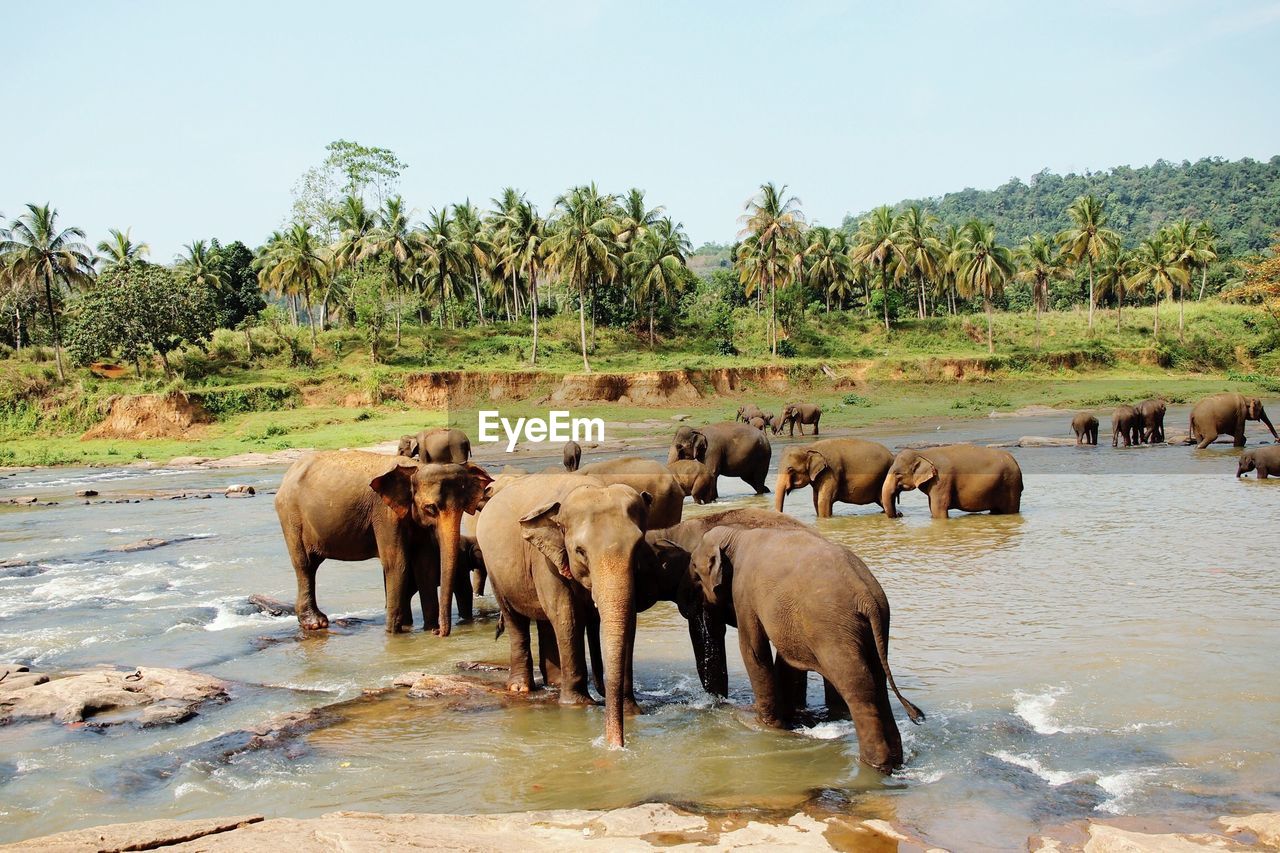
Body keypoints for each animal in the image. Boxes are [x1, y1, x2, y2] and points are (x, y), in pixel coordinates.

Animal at [275, 450, 488, 630]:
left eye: (463, 507)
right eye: (430, 508)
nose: (441, 633)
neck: (414, 467)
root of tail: (287, 476)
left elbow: (424, 564)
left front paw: (429, 630)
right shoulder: (385, 514)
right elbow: (397, 563)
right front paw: (393, 633)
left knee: (312, 564)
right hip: (291, 516)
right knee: (304, 564)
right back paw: (315, 624)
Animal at [473, 471, 650, 742]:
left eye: (638, 546)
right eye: (580, 551)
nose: (616, 745)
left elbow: (629, 619)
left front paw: (632, 709)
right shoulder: (545, 560)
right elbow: (567, 615)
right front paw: (577, 705)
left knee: (546, 622)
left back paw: (555, 683)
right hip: (495, 569)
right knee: (516, 620)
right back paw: (520, 687)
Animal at [686, 525, 926, 768]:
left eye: (695, 569)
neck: (736, 534)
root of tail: (867, 596)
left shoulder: (743, 591)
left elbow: (753, 650)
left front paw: (760, 723)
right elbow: (786, 659)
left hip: (833, 629)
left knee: (858, 686)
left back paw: (875, 764)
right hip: (875, 631)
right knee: (878, 682)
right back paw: (894, 762)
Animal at [885, 445, 1024, 517]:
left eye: (897, 474)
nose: (899, 514)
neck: (923, 453)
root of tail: (1015, 462)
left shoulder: (942, 479)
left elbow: (938, 508)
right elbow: (932, 507)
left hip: (1011, 485)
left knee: (1010, 510)